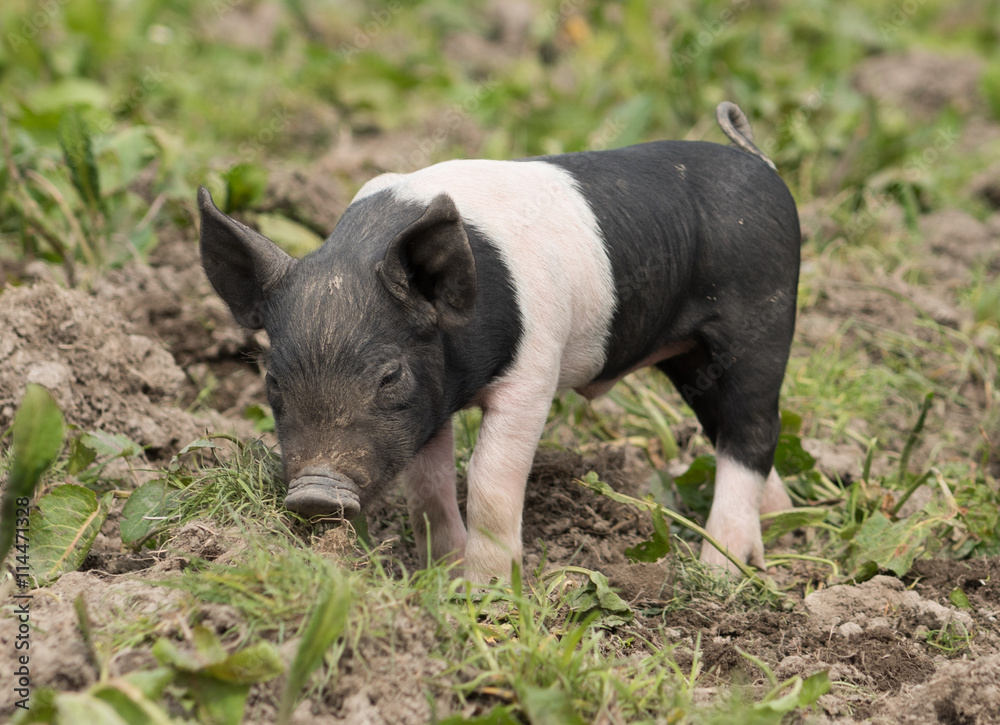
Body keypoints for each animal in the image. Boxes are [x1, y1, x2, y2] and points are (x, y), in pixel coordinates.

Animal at [198, 101, 799, 582]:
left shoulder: (534, 373)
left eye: (389, 376)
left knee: (753, 428)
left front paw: (486, 591)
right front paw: (444, 576)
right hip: (692, 360)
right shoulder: (431, 402)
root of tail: (758, 160)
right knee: (726, 428)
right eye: (273, 379)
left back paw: (724, 569)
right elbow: (428, 490)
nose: (315, 492)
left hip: (760, 324)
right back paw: (780, 519)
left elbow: (487, 480)